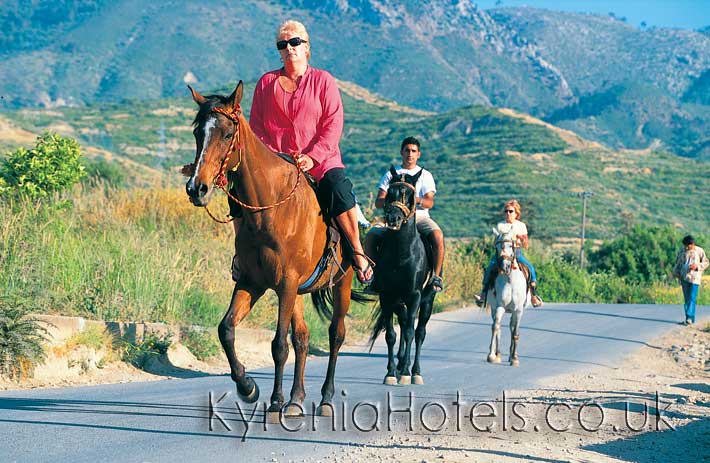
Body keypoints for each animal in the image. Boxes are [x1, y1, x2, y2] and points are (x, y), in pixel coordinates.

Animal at [184, 81, 362, 418]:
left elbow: (279, 345)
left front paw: (276, 401)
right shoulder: (252, 282)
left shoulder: (286, 283)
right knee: (303, 336)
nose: (196, 188)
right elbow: (226, 329)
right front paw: (248, 387)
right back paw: (297, 398)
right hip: (298, 292)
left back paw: (325, 399)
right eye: (198, 133)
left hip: (340, 284)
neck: (270, 209)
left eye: (227, 133)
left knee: (336, 335)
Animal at [370, 169, 436, 386]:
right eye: (390, 193)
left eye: (410, 195)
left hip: (427, 300)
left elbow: (409, 332)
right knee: (405, 321)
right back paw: (399, 365)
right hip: (399, 302)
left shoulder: (414, 295)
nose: (393, 218)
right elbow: (391, 334)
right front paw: (391, 372)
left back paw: (414, 370)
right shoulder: (387, 296)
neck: (402, 253)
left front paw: (407, 373)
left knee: (419, 332)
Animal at [486, 227, 532, 366]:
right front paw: (491, 356)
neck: (510, 280)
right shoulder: (499, 306)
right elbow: (496, 327)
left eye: (511, 245)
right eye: (496, 247)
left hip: (515, 311)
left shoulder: (518, 310)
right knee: (499, 327)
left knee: (512, 327)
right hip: (494, 308)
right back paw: (499, 354)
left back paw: (512, 355)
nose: (504, 266)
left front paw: (515, 359)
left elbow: (515, 332)